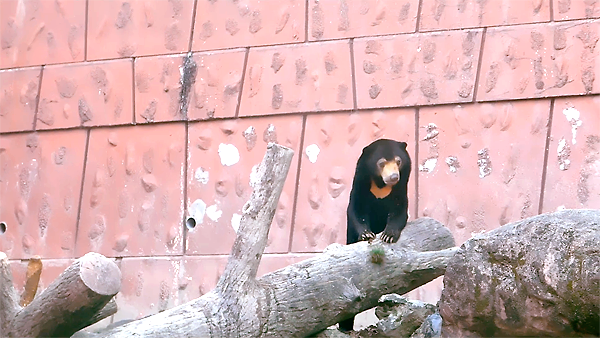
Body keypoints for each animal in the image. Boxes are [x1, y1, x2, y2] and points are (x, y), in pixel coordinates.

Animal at [338, 138, 412, 332]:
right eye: (381, 163)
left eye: (398, 161)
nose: (394, 177)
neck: (381, 186)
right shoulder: (361, 185)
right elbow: (356, 210)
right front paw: (366, 234)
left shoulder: (400, 190)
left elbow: (400, 211)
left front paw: (388, 235)